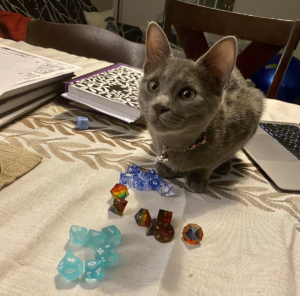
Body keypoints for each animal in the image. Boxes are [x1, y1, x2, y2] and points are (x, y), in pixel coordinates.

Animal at [138, 23, 264, 194]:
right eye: (153, 85)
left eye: (187, 94)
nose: (159, 106)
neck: (178, 143)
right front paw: (166, 166)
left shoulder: (247, 120)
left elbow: (210, 163)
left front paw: (197, 177)